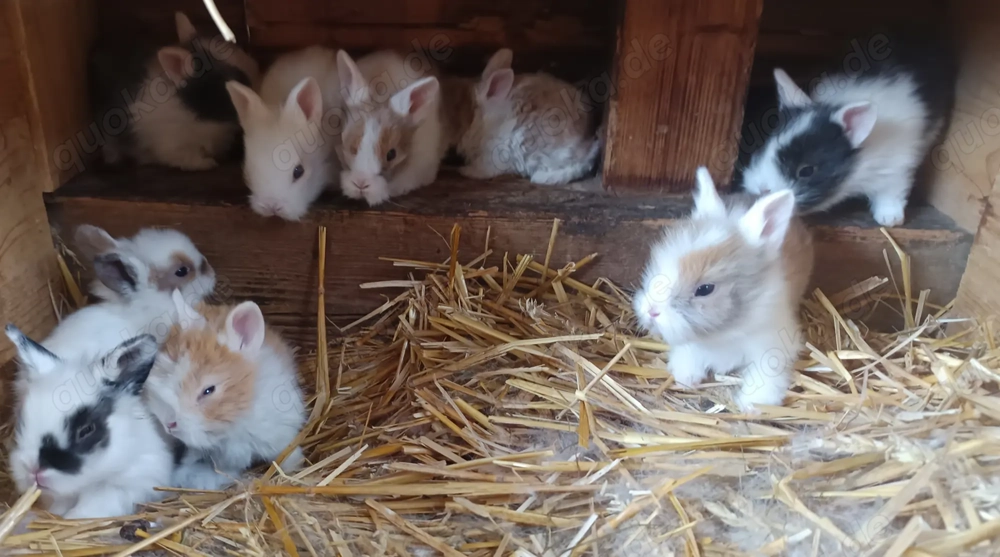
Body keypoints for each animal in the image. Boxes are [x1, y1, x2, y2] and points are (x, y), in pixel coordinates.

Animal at [632, 168, 814, 412]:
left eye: (705, 289)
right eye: (658, 266)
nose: (652, 311)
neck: (724, 332)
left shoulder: (772, 347)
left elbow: (767, 375)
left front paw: (752, 404)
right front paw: (686, 378)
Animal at [740, 37, 956, 226]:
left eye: (806, 171)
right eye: (764, 149)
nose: (761, 188)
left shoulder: (897, 170)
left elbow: (891, 194)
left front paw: (890, 219)